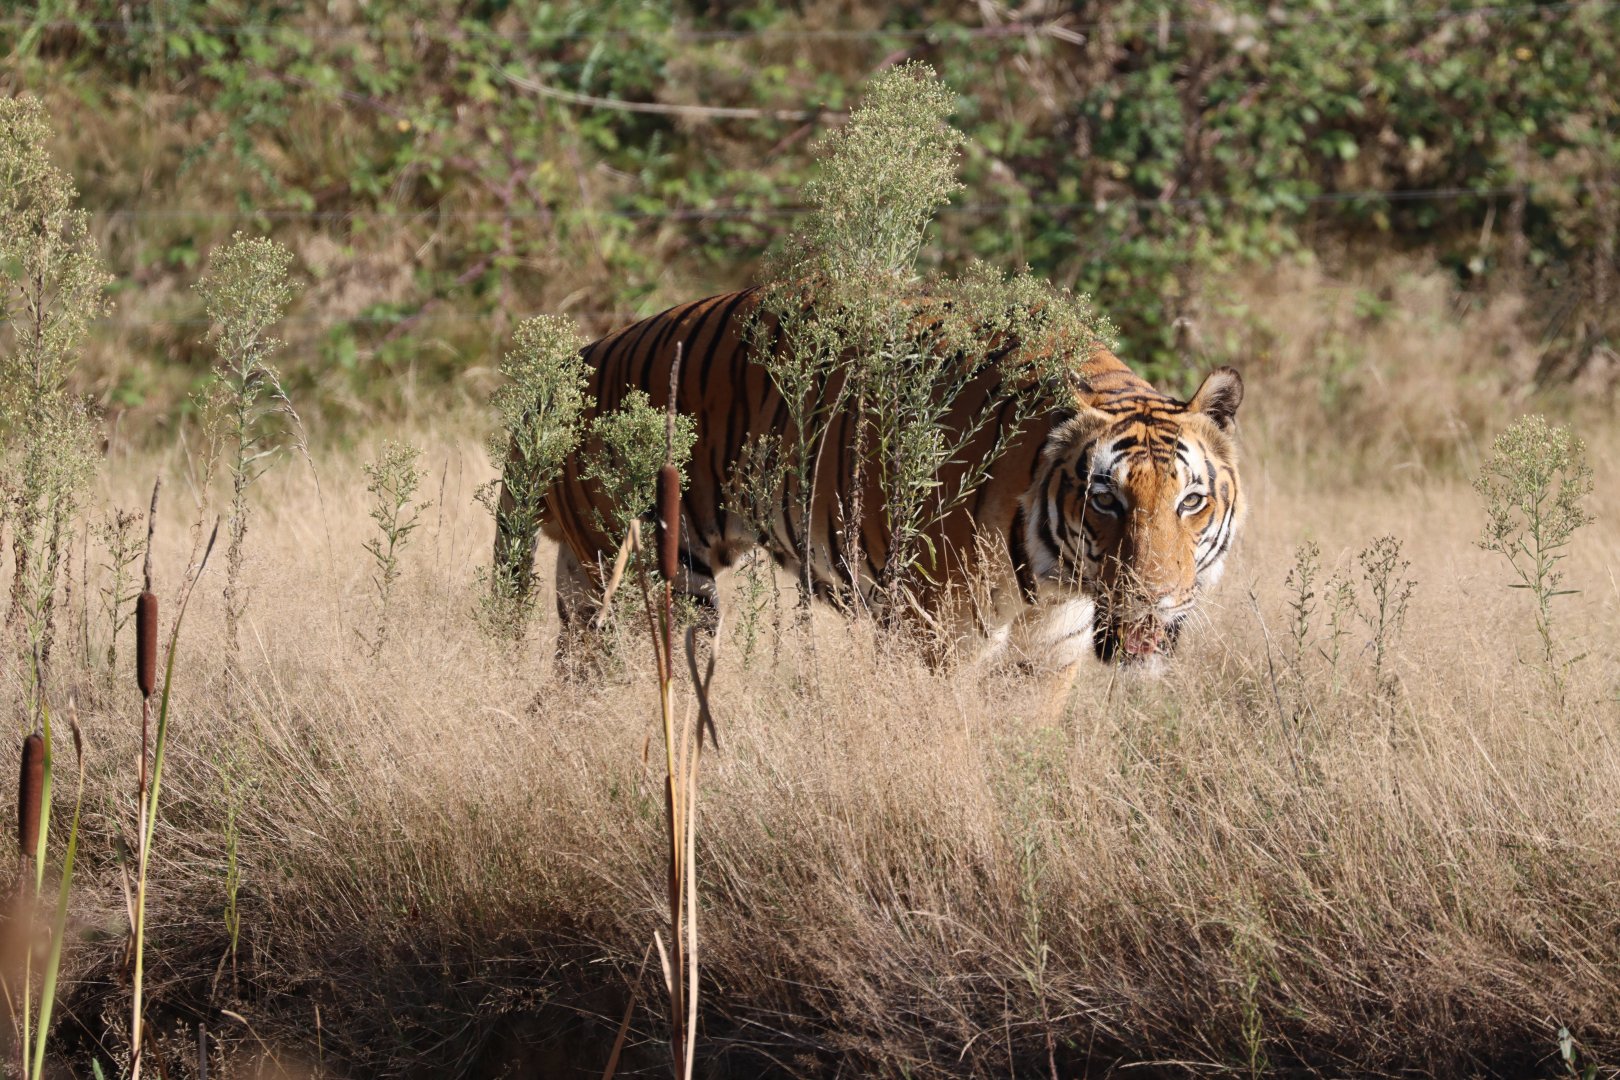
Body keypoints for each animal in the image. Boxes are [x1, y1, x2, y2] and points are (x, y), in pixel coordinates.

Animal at [495, 286, 1245, 670]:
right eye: (1104, 499)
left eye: (1191, 502)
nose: (1153, 600)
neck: (1059, 581)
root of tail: (583, 355)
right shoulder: (931, 638)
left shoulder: (1046, 660)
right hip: (654, 583)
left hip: (590, 585)